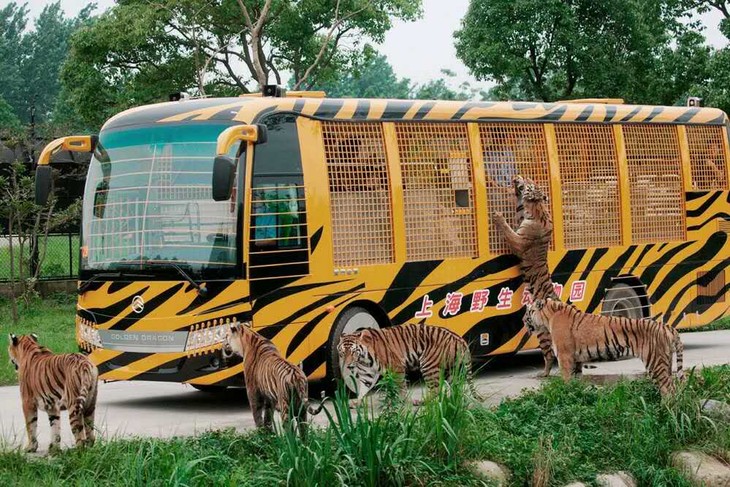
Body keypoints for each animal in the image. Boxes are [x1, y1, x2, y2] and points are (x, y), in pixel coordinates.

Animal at [334, 324, 478, 404]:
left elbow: (401, 385)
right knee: (456, 386)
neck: (363, 358)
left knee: (436, 389)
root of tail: (459, 338)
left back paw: (420, 402)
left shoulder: (396, 367)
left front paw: (401, 401)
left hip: (428, 365)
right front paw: (357, 402)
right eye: (342, 353)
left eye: (353, 352)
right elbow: (364, 387)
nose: (348, 365)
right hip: (451, 369)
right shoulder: (366, 373)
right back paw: (455, 401)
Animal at [524, 298, 684, 396]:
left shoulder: (565, 357)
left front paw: (566, 394)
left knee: (668, 389)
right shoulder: (576, 360)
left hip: (655, 362)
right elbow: (576, 382)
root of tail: (668, 327)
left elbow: (566, 380)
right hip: (666, 361)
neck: (549, 316)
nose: (523, 320)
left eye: (529, 311)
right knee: (672, 387)